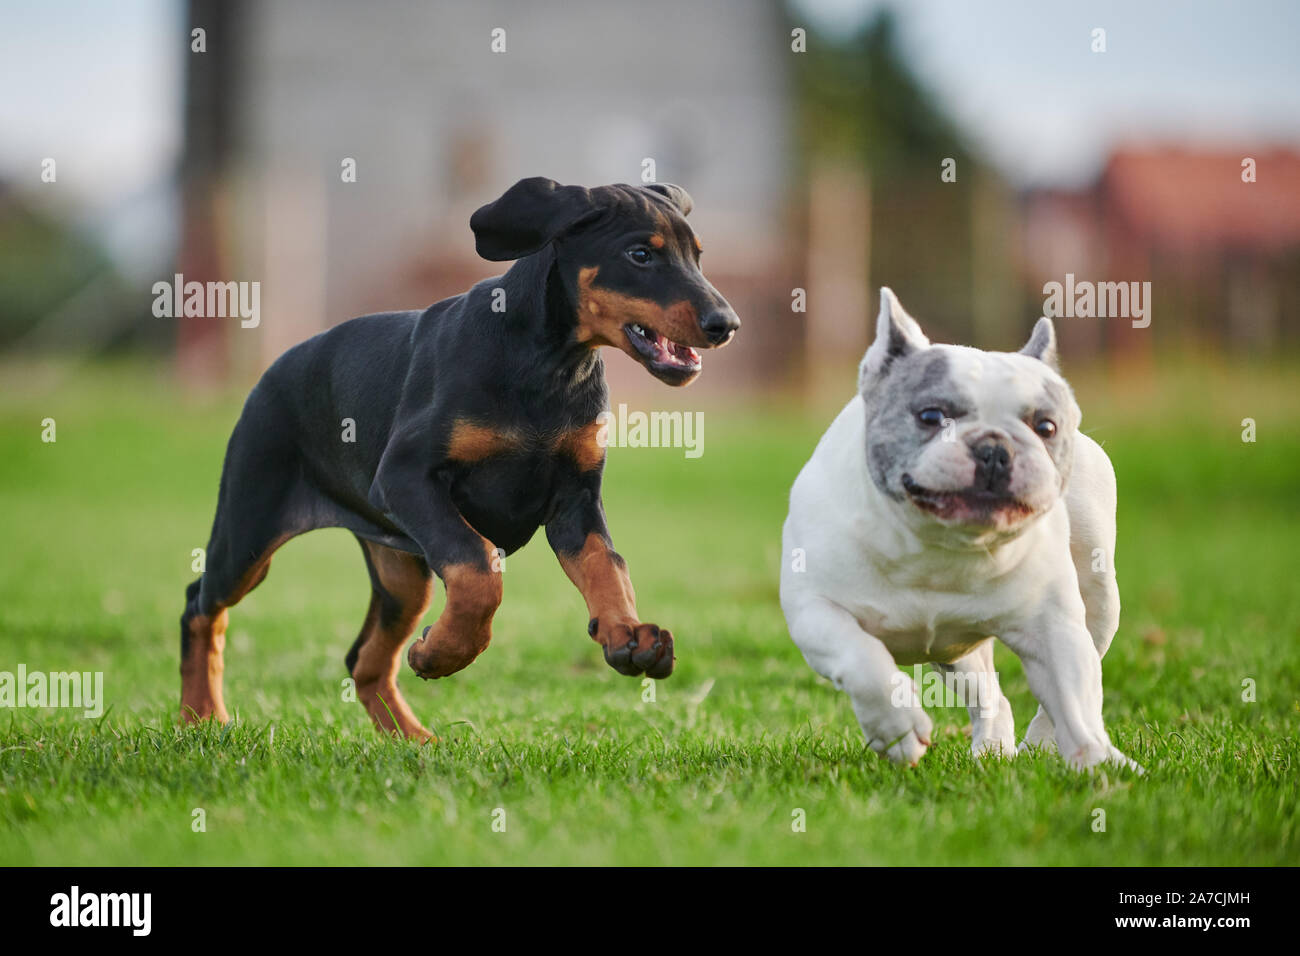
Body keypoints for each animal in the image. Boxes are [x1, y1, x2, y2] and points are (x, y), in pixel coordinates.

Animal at [178, 175, 738, 738]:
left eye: (698, 256)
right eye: (640, 254)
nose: (726, 324)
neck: (548, 364)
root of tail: (270, 373)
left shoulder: (576, 499)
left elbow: (607, 563)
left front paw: (626, 634)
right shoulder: (406, 478)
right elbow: (478, 565)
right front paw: (447, 653)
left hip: (401, 572)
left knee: (364, 659)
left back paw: (413, 740)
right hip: (250, 530)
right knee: (200, 604)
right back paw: (201, 716)